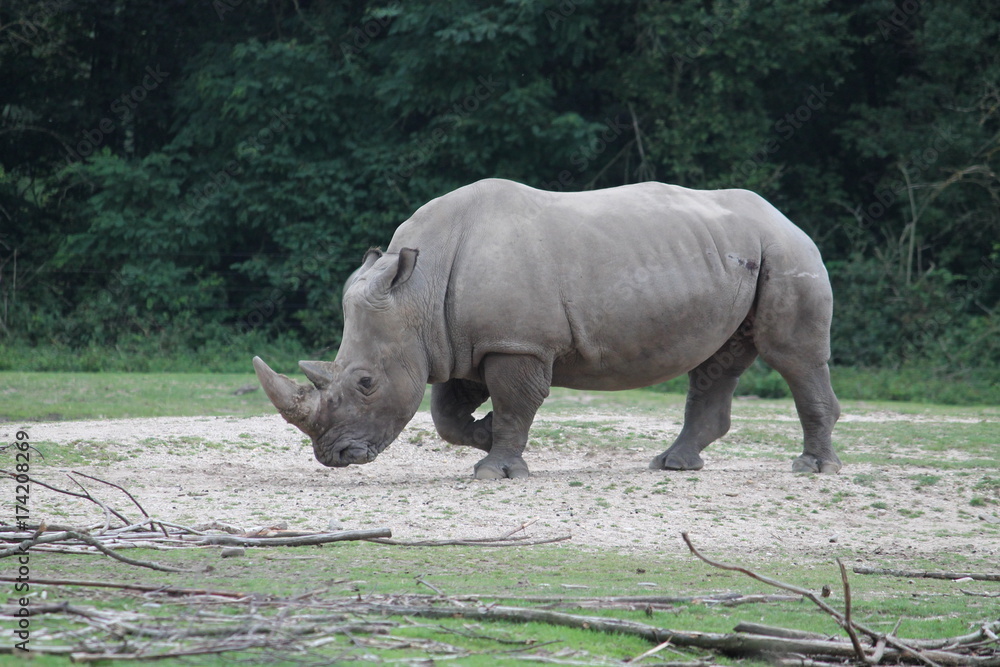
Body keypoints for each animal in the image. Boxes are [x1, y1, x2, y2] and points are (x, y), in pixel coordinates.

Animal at [253, 178, 841, 479]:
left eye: (366, 383)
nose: (334, 457)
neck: (417, 288)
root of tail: (787, 217)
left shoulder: (518, 344)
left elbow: (515, 403)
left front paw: (495, 470)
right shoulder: (459, 341)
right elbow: (446, 415)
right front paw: (486, 433)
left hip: (787, 254)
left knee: (791, 355)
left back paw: (812, 468)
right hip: (738, 256)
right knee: (719, 361)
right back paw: (673, 465)